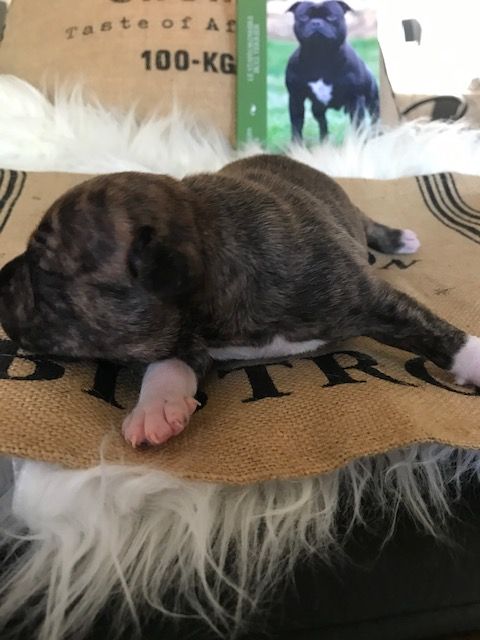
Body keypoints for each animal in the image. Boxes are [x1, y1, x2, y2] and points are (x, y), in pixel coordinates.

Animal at [1, 155, 479, 447]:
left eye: (43, 268)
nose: (2, 277)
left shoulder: (370, 297)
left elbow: (438, 333)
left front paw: (473, 358)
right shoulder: (183, 334)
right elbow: (168, 363)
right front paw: (156, 409)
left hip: (350, 212)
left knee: (368, 222)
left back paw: (399, 238)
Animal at [286, 1, 379, 141]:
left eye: (331, 17)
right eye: (304, 17)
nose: (316, 22)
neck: (321, 56)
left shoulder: (355, 99)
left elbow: (358, 126)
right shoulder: (296, 98)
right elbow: (297, 126)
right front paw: (296, 145)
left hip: (372, 102)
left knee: (375, 120)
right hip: (317, 108)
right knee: (322, 124)